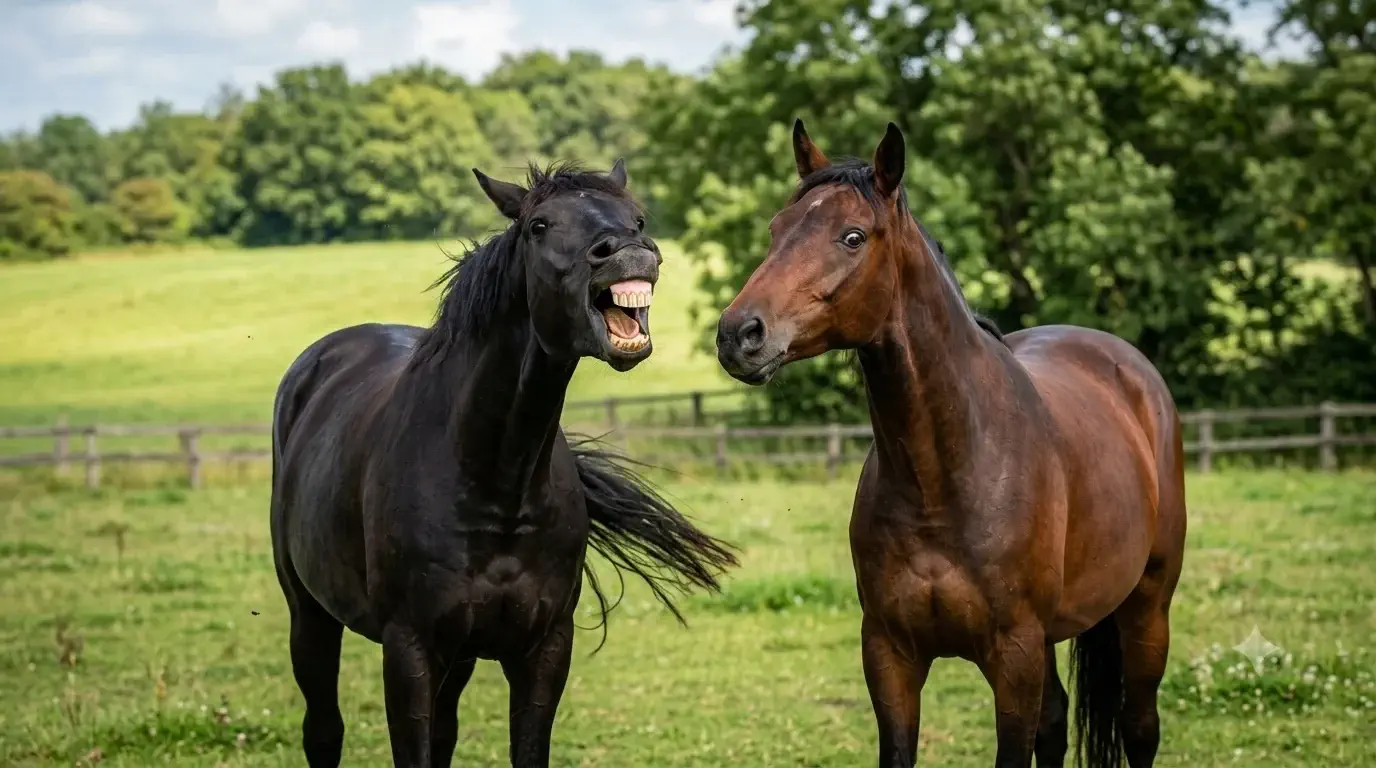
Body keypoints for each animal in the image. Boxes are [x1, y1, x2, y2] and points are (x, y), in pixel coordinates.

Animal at [270, 159, 738, 767]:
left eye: (637, 219)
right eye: (539, 225)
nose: (628, 253)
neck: (496, 482)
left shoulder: (543, 649)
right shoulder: (409, 649)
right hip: (310, 614)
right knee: (323, 729)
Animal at [715, 120, 1187, 768]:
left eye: (852, 237)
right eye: (775, 230)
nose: (738, 334)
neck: (944, 476)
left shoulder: (1014, 657)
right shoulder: (890, 655)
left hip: (1146, 610)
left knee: (1140, 726)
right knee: (1057, 723)